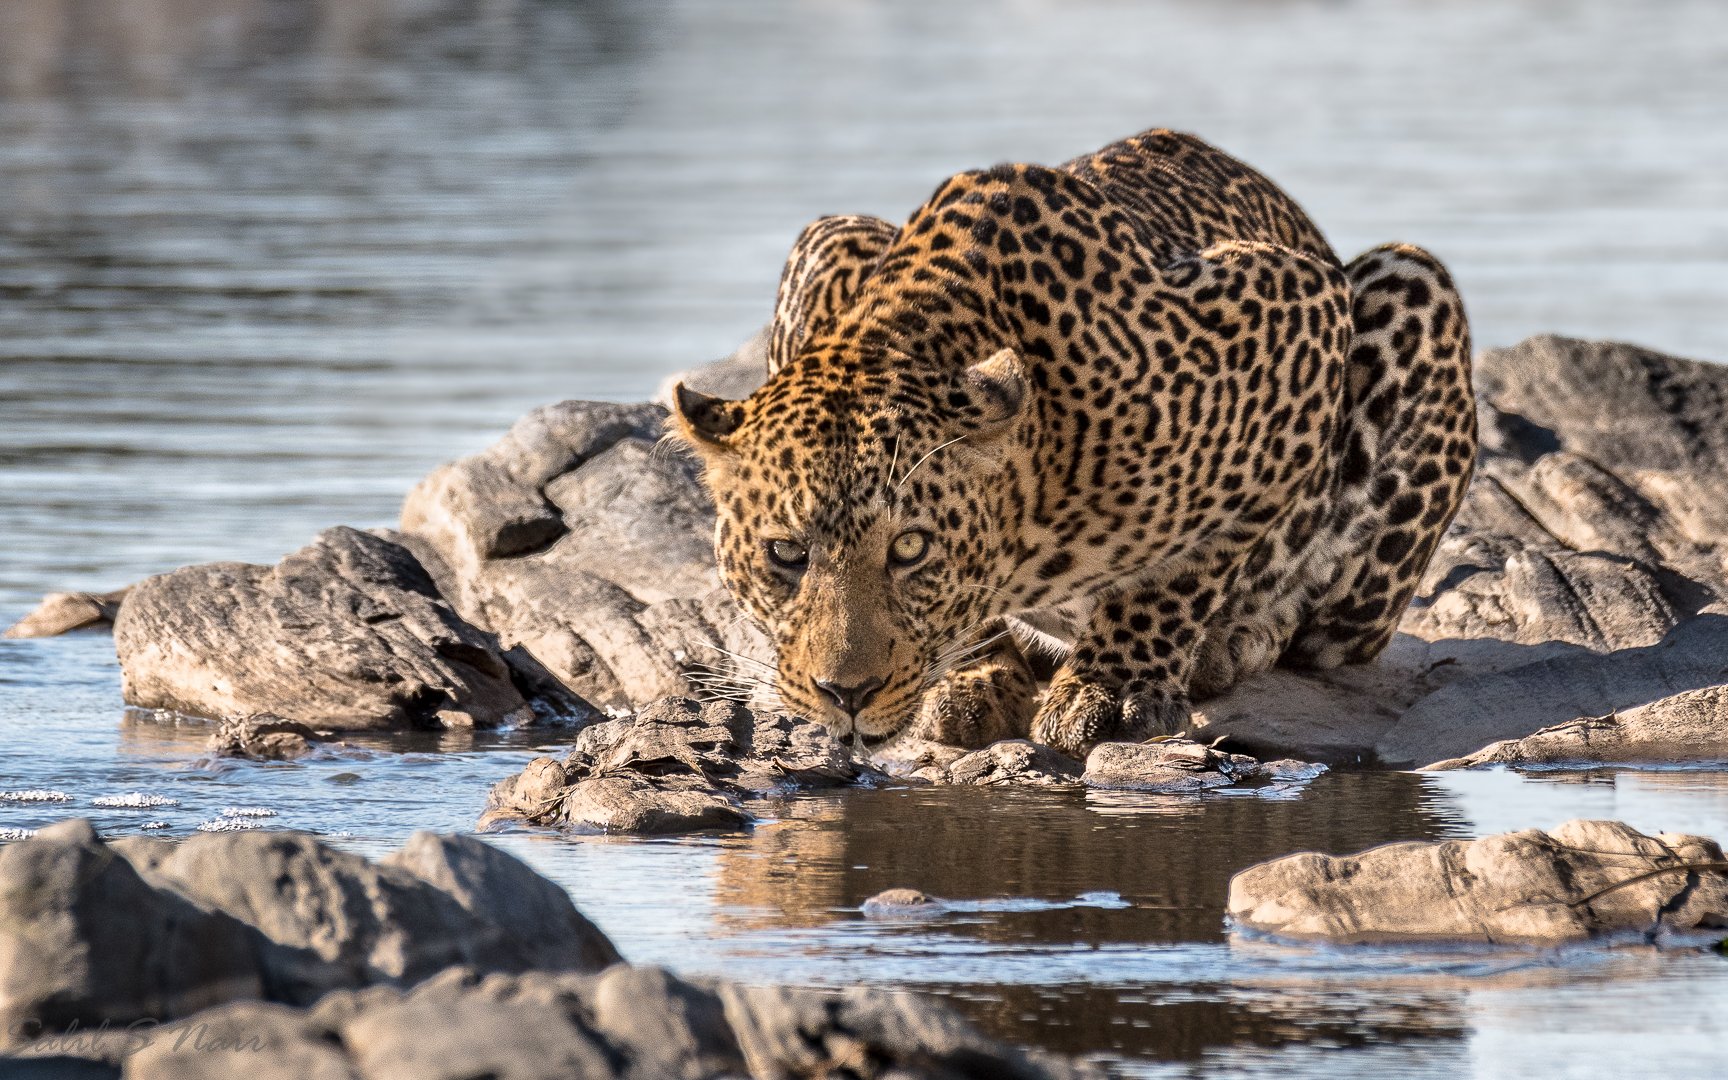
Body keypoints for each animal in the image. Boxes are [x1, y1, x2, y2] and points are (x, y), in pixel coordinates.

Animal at [671, 128, 1477, 760]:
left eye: (910, 549)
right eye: (786, 553)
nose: (846, 693)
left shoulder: (1295, 306)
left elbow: (1190, 562)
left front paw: (1113, 686)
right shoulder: (826, 246)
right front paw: (968, 676)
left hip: (1410, 281)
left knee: (1329, 628)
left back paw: (1234, 640)